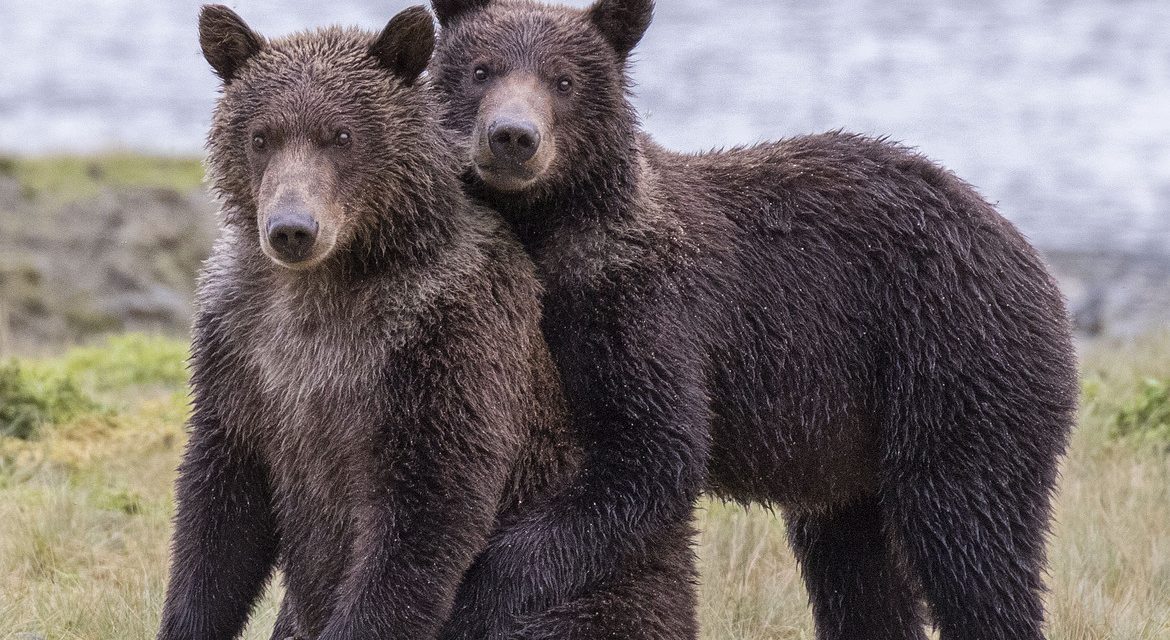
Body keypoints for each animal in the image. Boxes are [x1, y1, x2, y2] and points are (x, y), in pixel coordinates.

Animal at [157, 5, 696, 640]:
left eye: (342, 135)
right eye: (261, 136)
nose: (292, 229)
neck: (329, 285)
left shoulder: (441, 343)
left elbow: (424, 515)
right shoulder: (243, 347)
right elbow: (219, 513)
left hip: (593, 586)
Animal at [428, 1, 1080, 639]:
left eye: (563, 80)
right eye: (481, 70)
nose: (513, 137)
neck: (549, 229)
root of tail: (1032, 259)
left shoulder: (646, 311)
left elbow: (651, 457)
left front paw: (477, 594)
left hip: (954, 365)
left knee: (969, 537)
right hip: (852, 450)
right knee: (857, 569)